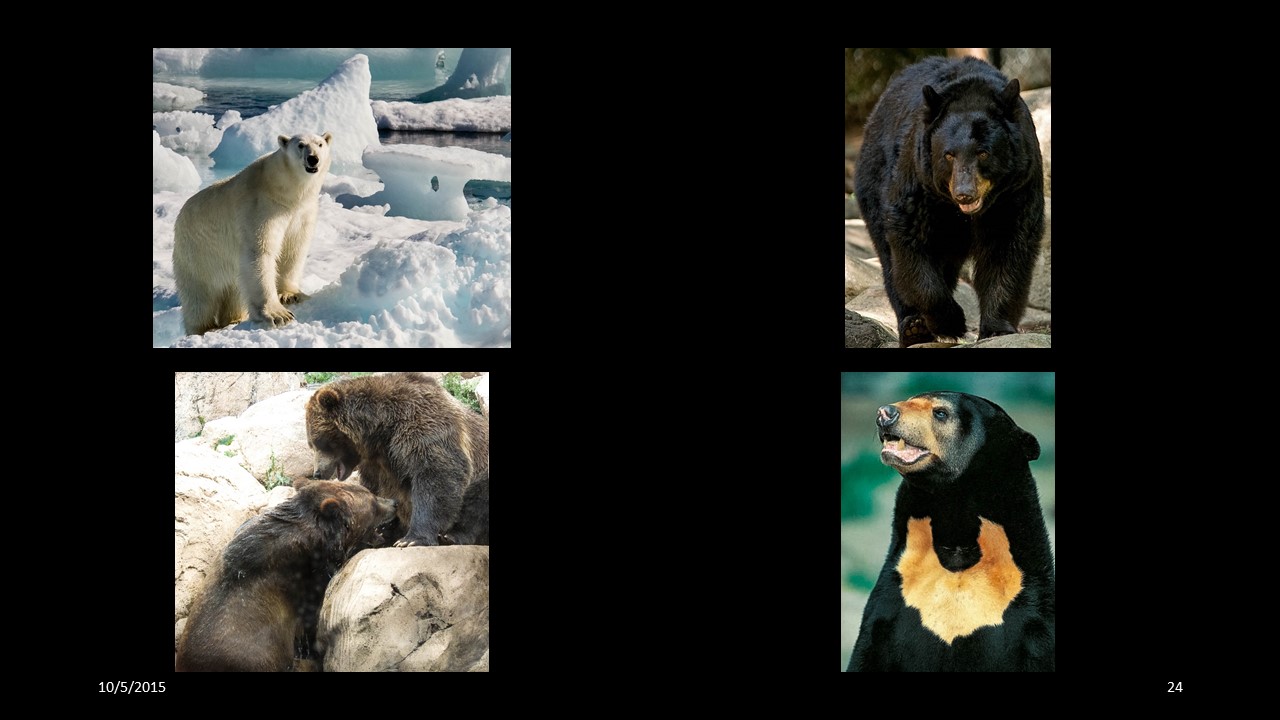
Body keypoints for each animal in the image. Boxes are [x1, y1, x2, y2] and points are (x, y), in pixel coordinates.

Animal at [172, 132, 333, 336]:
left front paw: (290, 295)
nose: (313, 159)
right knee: (200, 296)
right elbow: (259, 252)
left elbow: (293, 249)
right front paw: (278, 315)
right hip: (198, 253)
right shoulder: (260, 207)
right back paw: (204, 328)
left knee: (233, 291)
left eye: (320, 144)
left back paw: (234, 319)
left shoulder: (301, 212)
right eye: (301, 145)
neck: (284, 190)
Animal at [306, 373, 489, 548]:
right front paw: (384, 526)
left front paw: (412, 538)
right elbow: (375, 486)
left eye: (318, 442)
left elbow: (437, 474)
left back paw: (453, 535)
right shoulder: (377, 463)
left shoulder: (422, 424)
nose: (317, 473)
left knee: (477, 501)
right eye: (311, 444)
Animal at [847, 391, 1055, 671]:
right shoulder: (891, 598)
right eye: (909, 400)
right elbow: (866, 652)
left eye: (940, 413)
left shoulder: (1031, 610)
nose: (885, 413)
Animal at [854, 57, 1044, 346]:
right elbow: (911, 241)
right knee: (889, 261)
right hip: (874, 180)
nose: (964, 193)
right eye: (949, 155)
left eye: (983, 153)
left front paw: (997, 327)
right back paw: (913, 327)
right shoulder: (920, 183)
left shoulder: (1016, 189)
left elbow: (1008, 247)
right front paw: (950, 321)